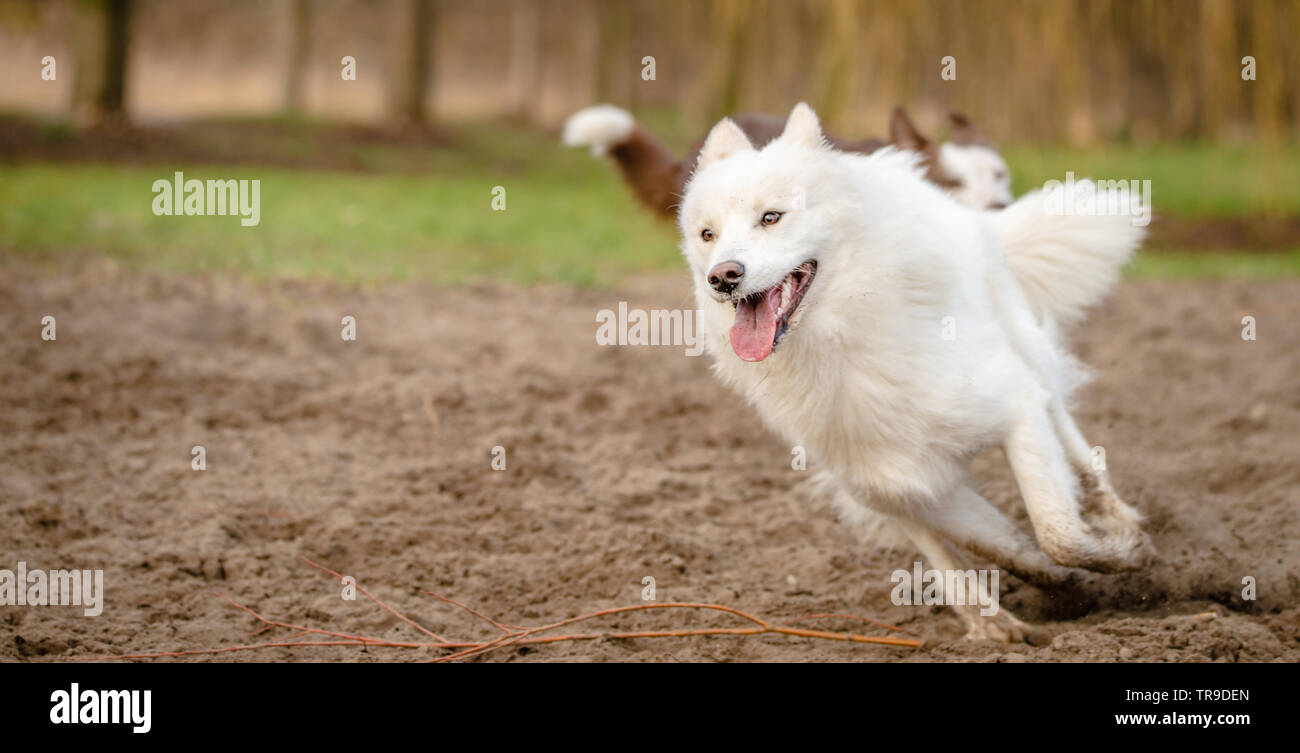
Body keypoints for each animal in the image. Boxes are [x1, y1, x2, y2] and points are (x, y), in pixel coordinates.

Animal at [676, 101, 1154, 642]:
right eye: (707, 234)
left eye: (770, 217)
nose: (722, 277)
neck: (838, 340)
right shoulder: (890, 482)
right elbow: (989, 551)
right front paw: (1029, 605)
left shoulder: (1016, 407)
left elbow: (1058, 530)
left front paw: (1124, 554)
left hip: (1028, 355)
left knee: (1074, 441)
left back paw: (1119, 518)